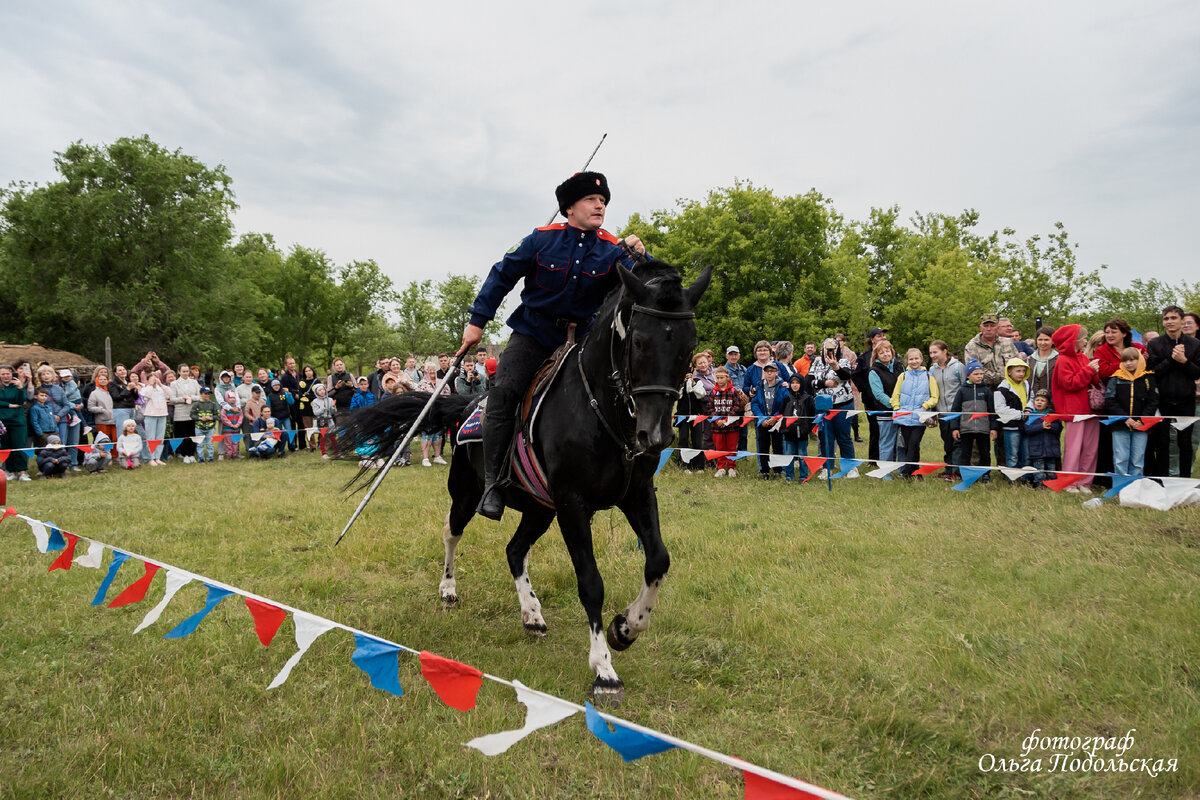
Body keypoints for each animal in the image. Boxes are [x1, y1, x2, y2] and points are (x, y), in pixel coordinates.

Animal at [340, 260, 710, 705]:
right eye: (638, 341)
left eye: (689, 345)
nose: (655, 435)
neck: (600, 408)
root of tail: (467, 403)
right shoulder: (572, 504)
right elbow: (591, 583)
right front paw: (604, 670)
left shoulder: (636, 494)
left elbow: (658, 560)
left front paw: (626, 628)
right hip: (470, 494)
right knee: (451, 531)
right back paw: (448, 590)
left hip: (539, 509)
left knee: (515, 550)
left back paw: (532, 614)